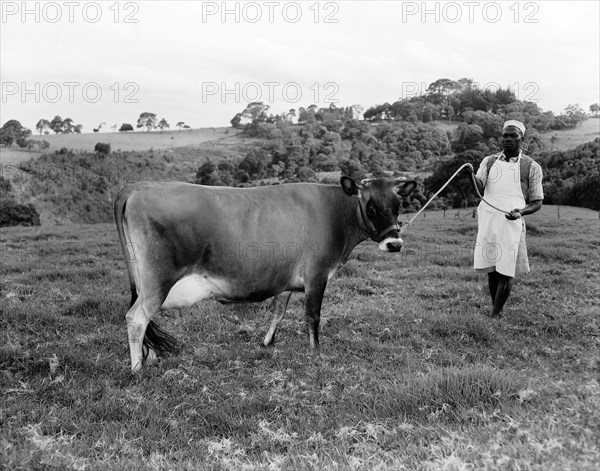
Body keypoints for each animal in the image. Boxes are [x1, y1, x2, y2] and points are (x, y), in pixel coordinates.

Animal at [116, 177, 418, 372]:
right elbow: (313, 316)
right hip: (157, 281)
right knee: (136, 317)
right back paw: (136, 368)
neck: (335, 214)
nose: (395, 244)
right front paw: (315, 351)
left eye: (398, 205)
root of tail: (140, 186)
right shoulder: (317, 275)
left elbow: (277, 313)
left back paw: (149, 357)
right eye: (371, 207)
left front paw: (267, 342)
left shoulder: (285, 281)